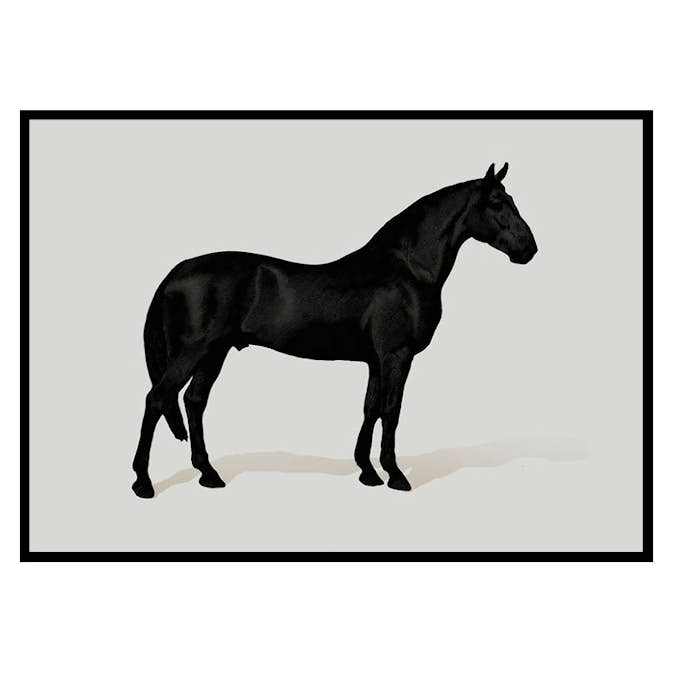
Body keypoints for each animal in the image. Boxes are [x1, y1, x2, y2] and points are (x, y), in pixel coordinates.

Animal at [132, 162, 537, 498]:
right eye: (497, 203)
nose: (529, 249)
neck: (407, 270)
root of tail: (179, 270)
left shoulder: (375, 360)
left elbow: (370, 409)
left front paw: (368, 472)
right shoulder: (397, 355)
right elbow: (391, 410)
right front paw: (395, 475)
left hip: (214, 353)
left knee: (193, 401)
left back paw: (209, 474)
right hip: (195, 351)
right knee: (157, 399)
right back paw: (143, 482)